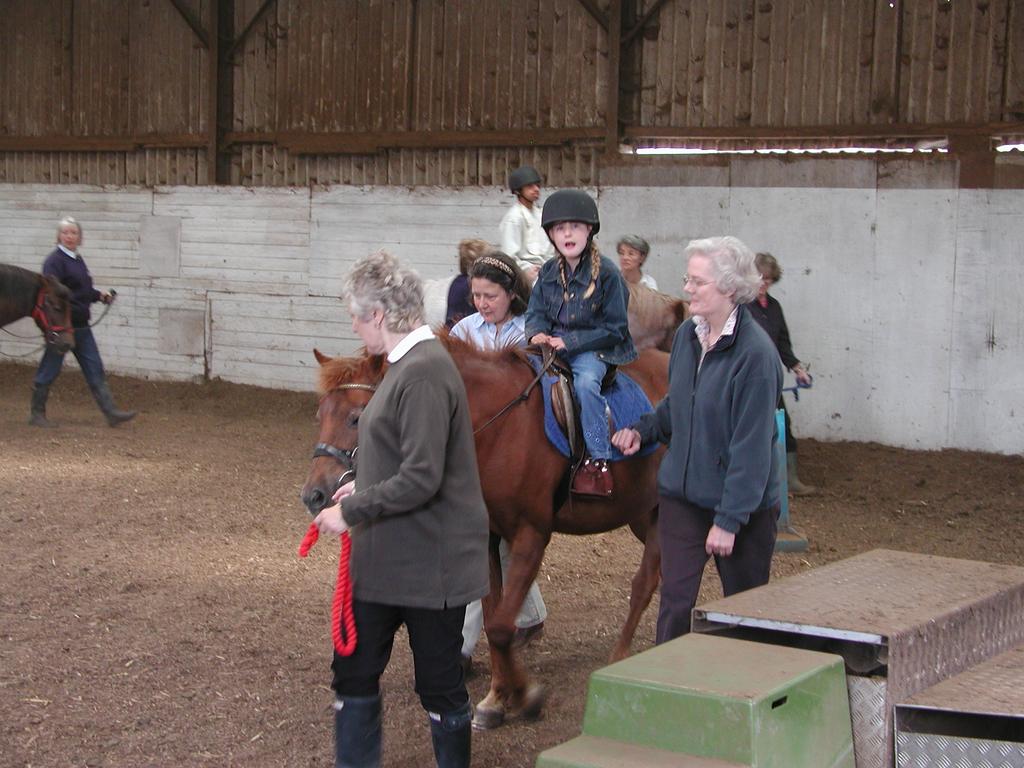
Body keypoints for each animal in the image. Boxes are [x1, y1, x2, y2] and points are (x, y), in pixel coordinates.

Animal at [301, 339, 671, 729]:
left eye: (357, 417)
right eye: (320, 415)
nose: (314, 495)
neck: (499, 427)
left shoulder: (531, 535)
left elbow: (502, 627)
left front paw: (526, 696)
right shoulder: (488, 536)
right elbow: (493, 620)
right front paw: (497, 697)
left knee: (645, 583)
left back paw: (621, 657)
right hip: (643, 514)